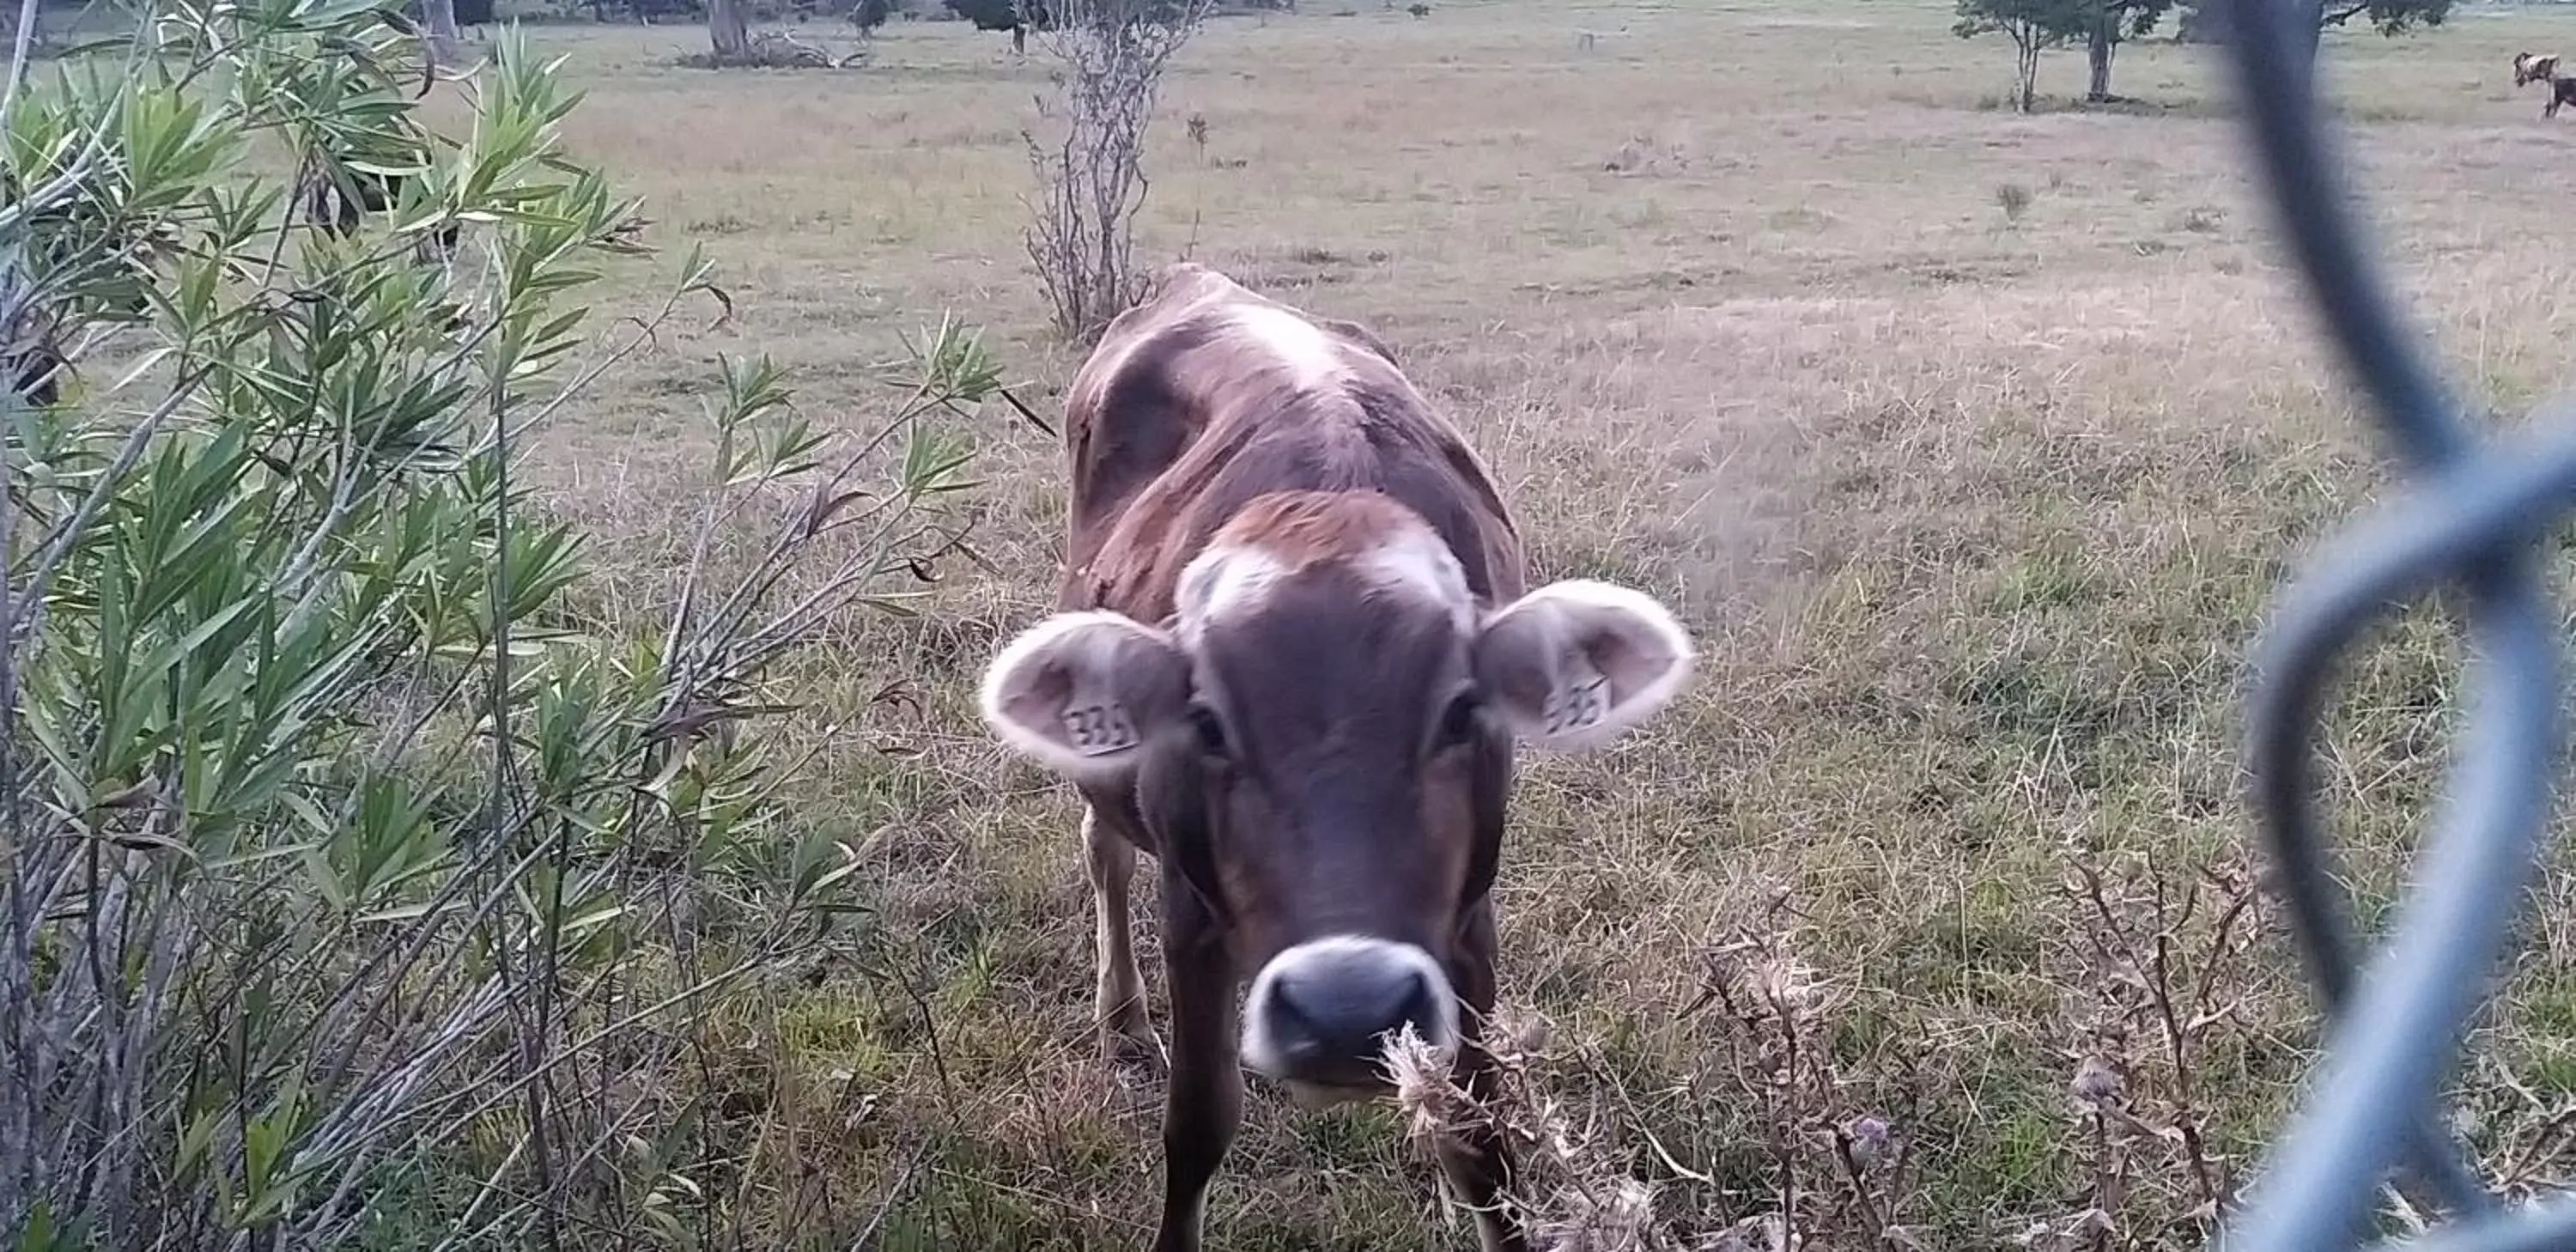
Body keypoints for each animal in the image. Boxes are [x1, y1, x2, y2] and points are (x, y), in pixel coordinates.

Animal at [974, 258, 1700, 1247]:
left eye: (1461, 712)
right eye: (1208, 722)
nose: (1346, 1008)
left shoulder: (1469, 917)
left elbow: (1478, 1135)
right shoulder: (1192, 910)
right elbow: (1199, 1122)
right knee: (1104, 851)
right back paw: (1122, 1019)